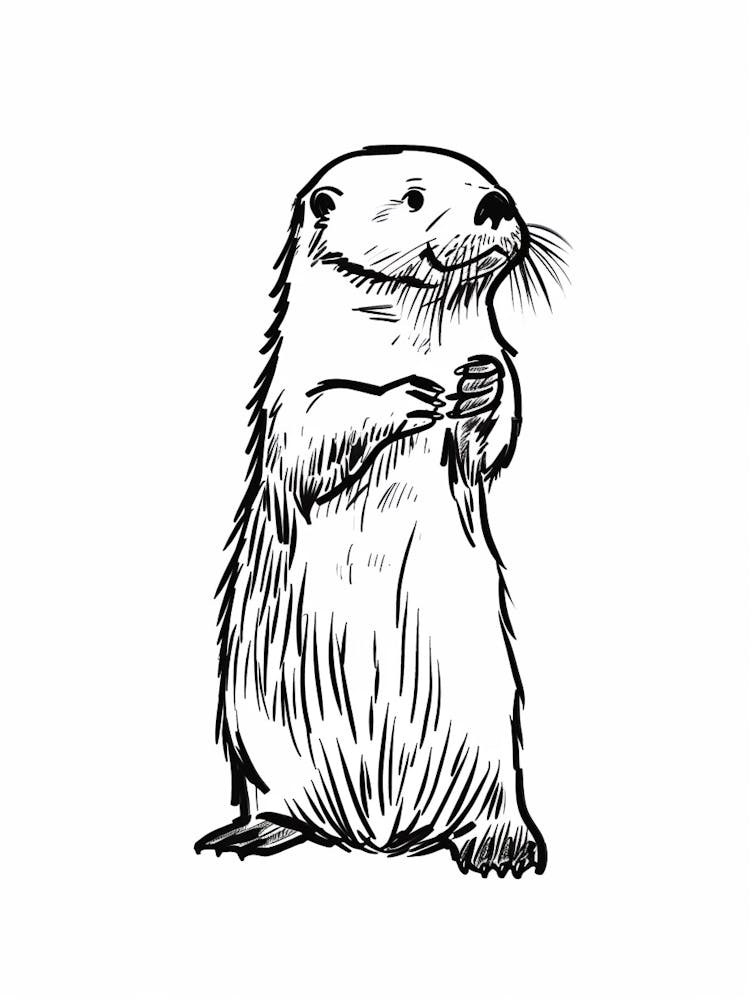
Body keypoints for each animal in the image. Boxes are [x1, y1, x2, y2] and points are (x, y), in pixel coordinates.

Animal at [195, 145, 568, 877]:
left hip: (491, 726)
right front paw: (408, 395)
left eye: (489, 183)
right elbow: (316, 427)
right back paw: (249, 836)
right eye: (414, 196)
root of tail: (376, 832)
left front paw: (480, 385)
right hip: (257, 741)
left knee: (493, 799)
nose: (495, 204)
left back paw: (501, 845)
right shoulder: (295, 389)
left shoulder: (489, 356)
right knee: (278, 804)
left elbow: (498, 425)